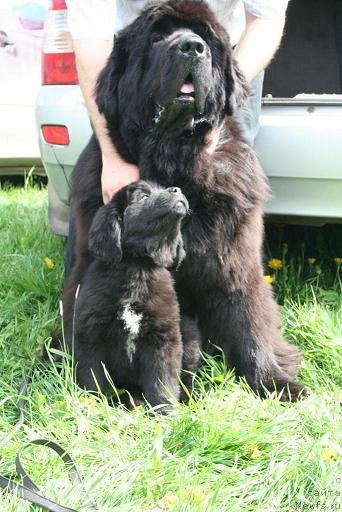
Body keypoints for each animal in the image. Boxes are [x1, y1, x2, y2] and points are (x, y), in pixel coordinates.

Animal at [64, 180, 200, 408]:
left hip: (189, 335)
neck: (138, 266)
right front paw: (93, 405)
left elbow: (162, 381)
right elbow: (92, 377)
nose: (177, 189)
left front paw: (166, 411)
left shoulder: (163, 336)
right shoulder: (91, 334)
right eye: (143, 196)